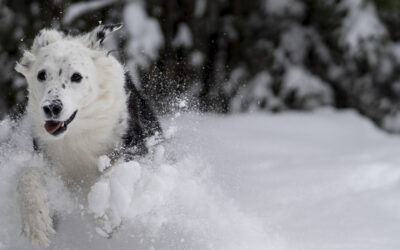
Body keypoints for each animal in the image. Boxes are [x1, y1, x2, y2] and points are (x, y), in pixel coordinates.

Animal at [14, 24, 161, 247]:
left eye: (76, 76)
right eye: (41, 75)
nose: (51, 107)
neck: (79, 131)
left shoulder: (137, 149)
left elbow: (113, 173)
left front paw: (106, 214)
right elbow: (27, 175)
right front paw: (36, 220)